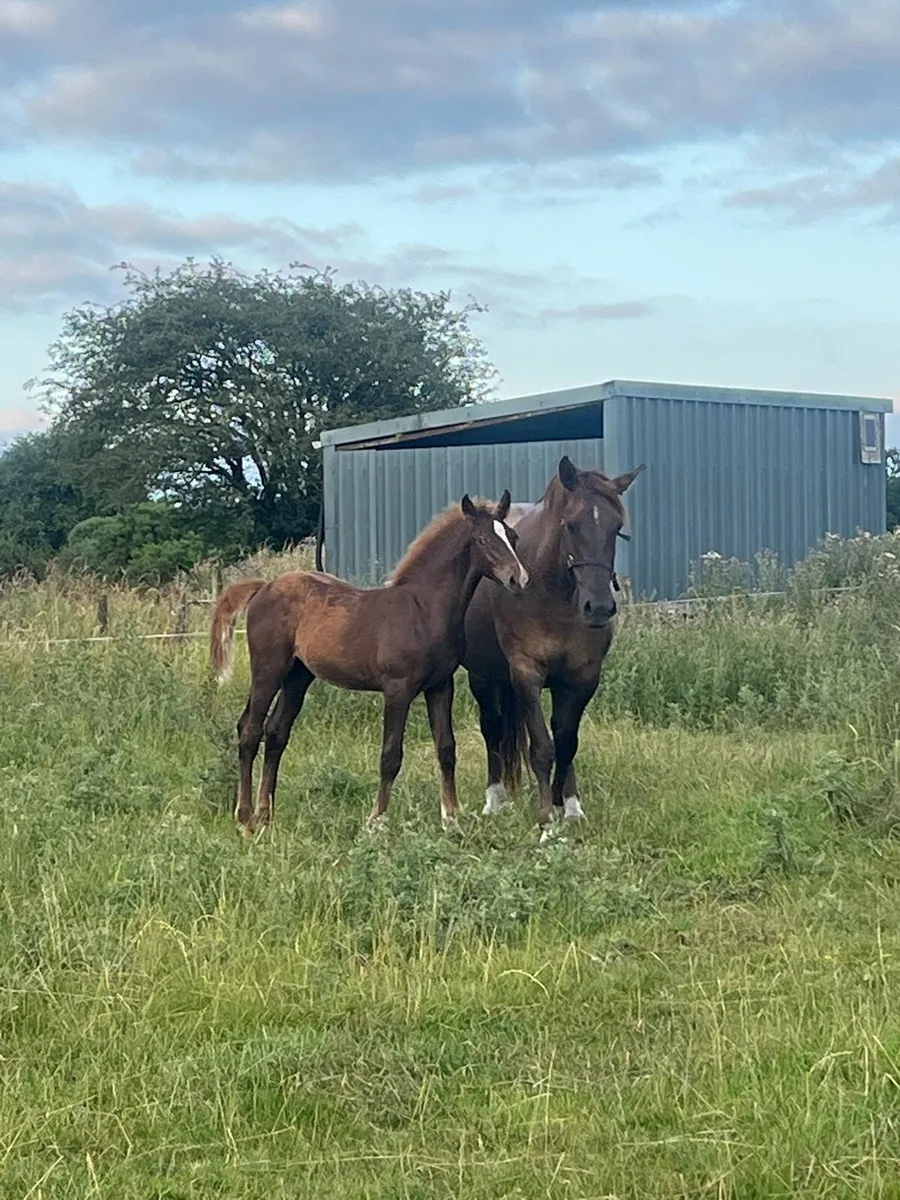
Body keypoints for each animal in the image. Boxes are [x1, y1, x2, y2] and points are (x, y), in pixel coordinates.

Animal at [210, 492, 529, 835]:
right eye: (482, 540)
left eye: (512, 536)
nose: (518, 578)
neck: (423, 609)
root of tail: (263, 588)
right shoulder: (398, 689)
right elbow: (390, 755)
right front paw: (376, 821)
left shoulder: (440, 686)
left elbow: (446, 748)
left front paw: (451, 818)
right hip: (269, 670)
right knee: (250, 730)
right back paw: (245, 817)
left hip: (298, 676)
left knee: (276, 732)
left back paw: (265, 814)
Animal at [462, 456, 644, 839]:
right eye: (571, 524)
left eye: (617, 527)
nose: (599, 607)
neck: (553, 595)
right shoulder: (526, 673)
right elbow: (543, 748)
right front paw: (546, 820)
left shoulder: (582, 678)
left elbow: (567, 742)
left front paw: (567, 806)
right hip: (483, 677)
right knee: (492, 729)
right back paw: (493, 801)